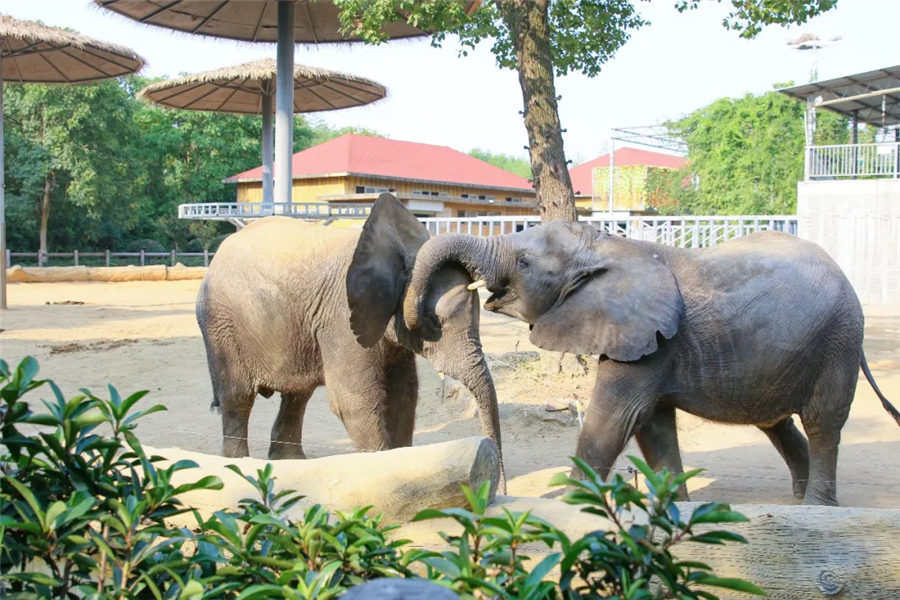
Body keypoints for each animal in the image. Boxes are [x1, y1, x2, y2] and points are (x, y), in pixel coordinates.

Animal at [196, 192, 502, 488]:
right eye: (435, 322)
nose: (499, 489)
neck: (406, 249)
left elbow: (404, 395)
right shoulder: (342, 316)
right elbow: (354, 401)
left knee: (298, 394)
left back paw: (290, 461)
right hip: (221, 323)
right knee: (238, 397)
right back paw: (239, 464)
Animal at [402, 218, 900, 504]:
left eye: (524, 263)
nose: (422, 318)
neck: (607, 247)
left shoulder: (651, 338)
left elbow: (616, 418)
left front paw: (566, 507)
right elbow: (653, 425)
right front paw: (672, 508)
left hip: (837, 340)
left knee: (822, 422)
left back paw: (816, 508)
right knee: (776, 422)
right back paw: (797, 498)